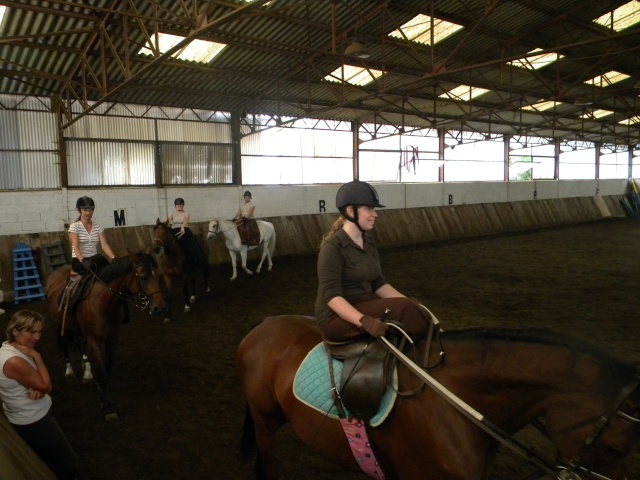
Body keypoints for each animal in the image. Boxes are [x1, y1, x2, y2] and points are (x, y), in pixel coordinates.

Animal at [47, 249, 165, 422]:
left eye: (157, 275)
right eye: (143, 277)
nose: (159, 307)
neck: (102, 301)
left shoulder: (111, 337)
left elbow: (107, 365)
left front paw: (98, 387)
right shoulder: (93, 340)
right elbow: (102, 372)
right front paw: (108, 407)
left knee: (80, 345)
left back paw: (87, 373)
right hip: (59, 324)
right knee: (64, 344)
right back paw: (69, 371)